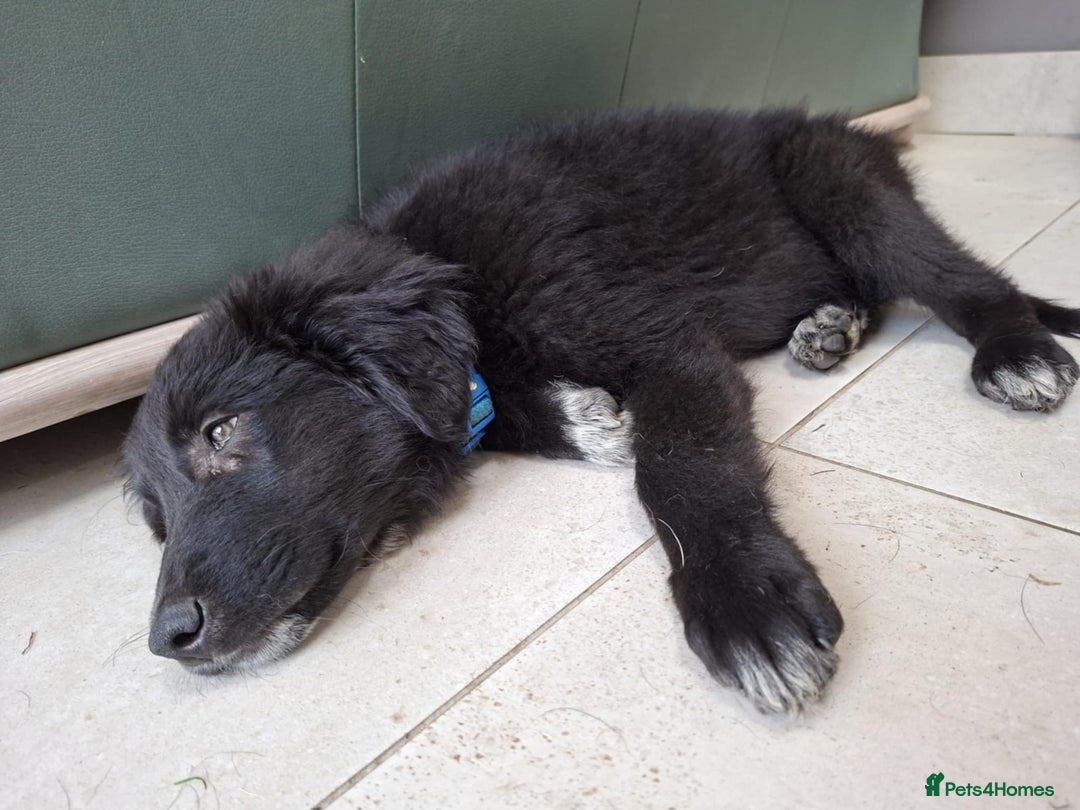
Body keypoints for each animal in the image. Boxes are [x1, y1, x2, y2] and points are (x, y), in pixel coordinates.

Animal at [123, 108, 1080, 715]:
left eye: (221, 431)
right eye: (155, 523)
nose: (168, 639)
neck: (450, 266)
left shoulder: (667, 346)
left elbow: (684, 465)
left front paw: (742, 601)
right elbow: (489, 416)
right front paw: (582, 419)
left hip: (841, 182)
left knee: (964, 280)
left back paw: (1015, 350)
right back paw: (829, 327)